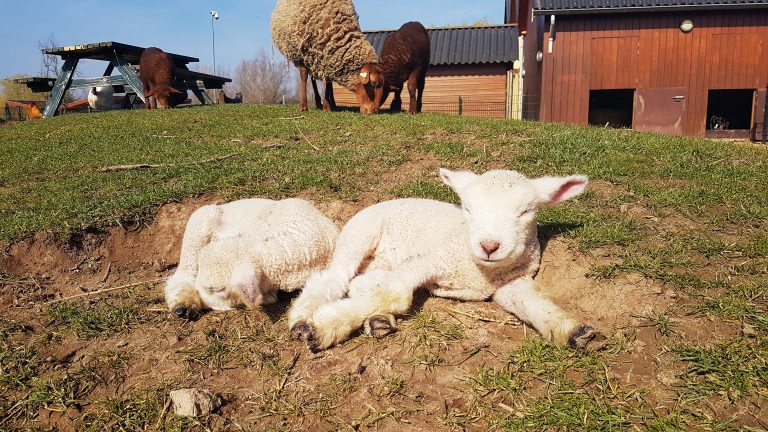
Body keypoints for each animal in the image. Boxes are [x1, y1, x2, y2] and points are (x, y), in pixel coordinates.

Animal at [288, 167, 608, 352]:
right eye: (467, 208)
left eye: (526, 211)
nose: (489, 245)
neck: (481, 271)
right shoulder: (431, 259)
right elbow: (396, 293)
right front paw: (323, 327)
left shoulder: (511, 283)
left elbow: (534, 303)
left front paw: (574, 330)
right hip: (361, 234)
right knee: (334, 277)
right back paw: (304, 318)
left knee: (361, 283)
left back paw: (379, 320)